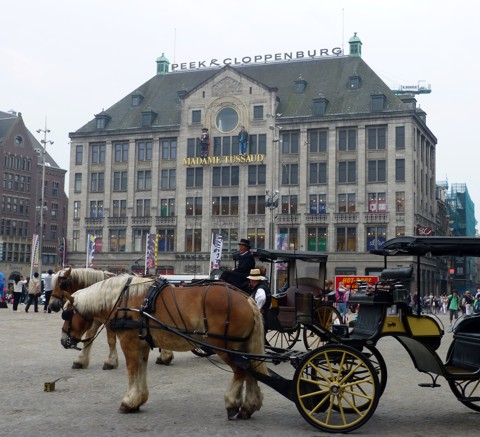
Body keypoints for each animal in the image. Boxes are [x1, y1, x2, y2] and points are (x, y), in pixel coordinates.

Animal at [61, 276, 266, 416]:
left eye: (67, 315)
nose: (64, 340)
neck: (123, 300)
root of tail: (247, 298)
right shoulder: (142, 345)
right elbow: (141, 370)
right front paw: (138, 400)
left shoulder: (129, 343)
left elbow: (131, 370)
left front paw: (128, 401)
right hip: (243, 348)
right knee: (252, 372)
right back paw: (249, 406)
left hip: (225, 348)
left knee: (241, 372)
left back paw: (232, 403)